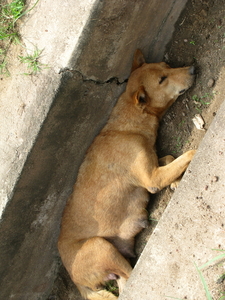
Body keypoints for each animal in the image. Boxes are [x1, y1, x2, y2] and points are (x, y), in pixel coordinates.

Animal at [57, 50, 195, 298]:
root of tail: (74, 279)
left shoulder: (153, 167)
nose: (192, 69)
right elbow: (187, 154)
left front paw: (177, 181)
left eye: (166, 66)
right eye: (162, 79)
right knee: (131, 282)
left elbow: (171, 158)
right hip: (100, 245)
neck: (127, 126)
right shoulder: (152, 178)